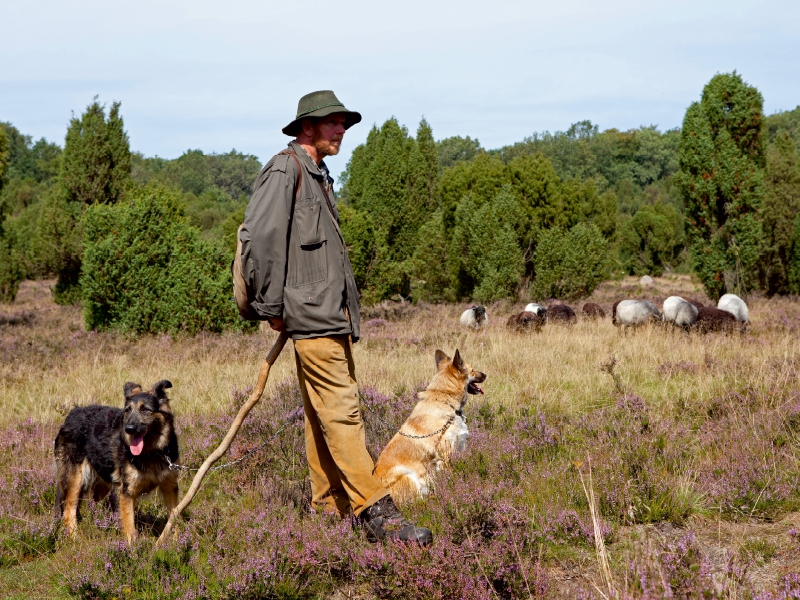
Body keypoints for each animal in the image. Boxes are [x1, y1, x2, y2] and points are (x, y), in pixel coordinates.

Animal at [55, 382, 180, 540]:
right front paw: (132, 546)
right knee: (69, 510)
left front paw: (176, 541)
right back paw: (74, 537)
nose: (129, 429)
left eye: (145, 409)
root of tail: (71, 414)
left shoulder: (169, 487)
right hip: (76, 480)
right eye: (127, 410)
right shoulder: (127, 492)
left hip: (102, 484)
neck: (152, 451)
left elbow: (174, 517)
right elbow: (129, 527)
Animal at [374, 350, 484, 504]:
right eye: (472, 370)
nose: (486, 375)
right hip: (406, 475)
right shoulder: (445, 456)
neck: (445, 401)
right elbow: (452, 478)